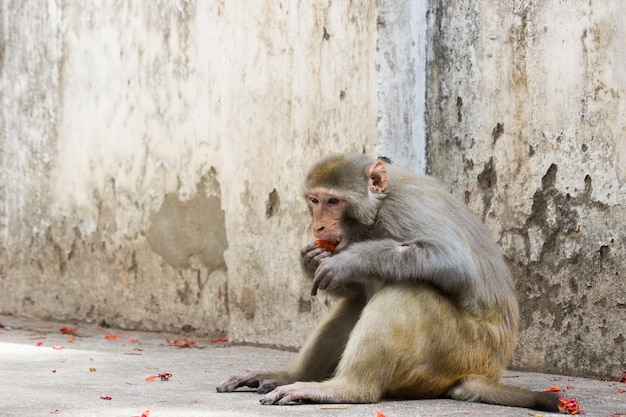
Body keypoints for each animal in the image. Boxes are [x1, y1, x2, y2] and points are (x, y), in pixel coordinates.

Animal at [216, 152, 560, 410]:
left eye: (333, 202)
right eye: (314, 200)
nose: (318, 227)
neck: (377, 209)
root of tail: (489, 371)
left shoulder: (406, 207)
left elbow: (454, 261)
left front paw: (350, 260)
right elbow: (353, 289)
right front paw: (310, 259)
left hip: (463, 350)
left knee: (406, 290)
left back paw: (345, 389)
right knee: (358, 301)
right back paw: (290, 376)